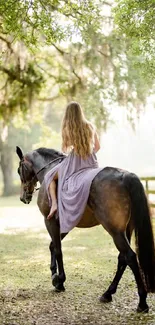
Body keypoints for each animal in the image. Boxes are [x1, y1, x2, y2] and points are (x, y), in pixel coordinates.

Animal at [15, 145, 155, 312]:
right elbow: (53, 246)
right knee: (123, 258)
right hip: (125, 230)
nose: (23, 197)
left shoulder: (50, 221)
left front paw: (59, 281)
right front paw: (54, 275)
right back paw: (108, 293)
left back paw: (142, 302)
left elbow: (58, 249)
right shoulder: (63, 224)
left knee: (130, 257)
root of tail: (126, 176)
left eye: (19, 170)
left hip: (115, 231)